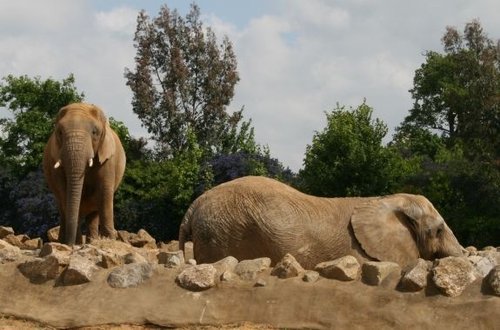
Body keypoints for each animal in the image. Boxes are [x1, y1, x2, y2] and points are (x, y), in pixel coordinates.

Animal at [42, 103, 127, 245]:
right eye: (60, 132)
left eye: (94, 132)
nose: (71, 244)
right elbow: (64, 192)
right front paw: (74, 243)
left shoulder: (108, 159)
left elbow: (104, 192)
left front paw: (109, 240)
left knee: (94, 213)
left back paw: (91, 241)